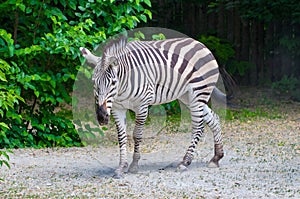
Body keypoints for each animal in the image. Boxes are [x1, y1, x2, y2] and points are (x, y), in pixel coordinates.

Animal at [79, 36, 225, 179]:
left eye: (113, 82)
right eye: (93, 82)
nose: (101, 117)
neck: (121, 87)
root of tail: (201, 45)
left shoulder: (142, 106)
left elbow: (137, 135)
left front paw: (134, 165)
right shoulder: (117, 108)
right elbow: (121, 137)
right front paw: (121, 167)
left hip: (198, 93)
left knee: (198, 126)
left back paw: (185, 162)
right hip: (187, 96)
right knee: (215, 119)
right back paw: (216, 158)